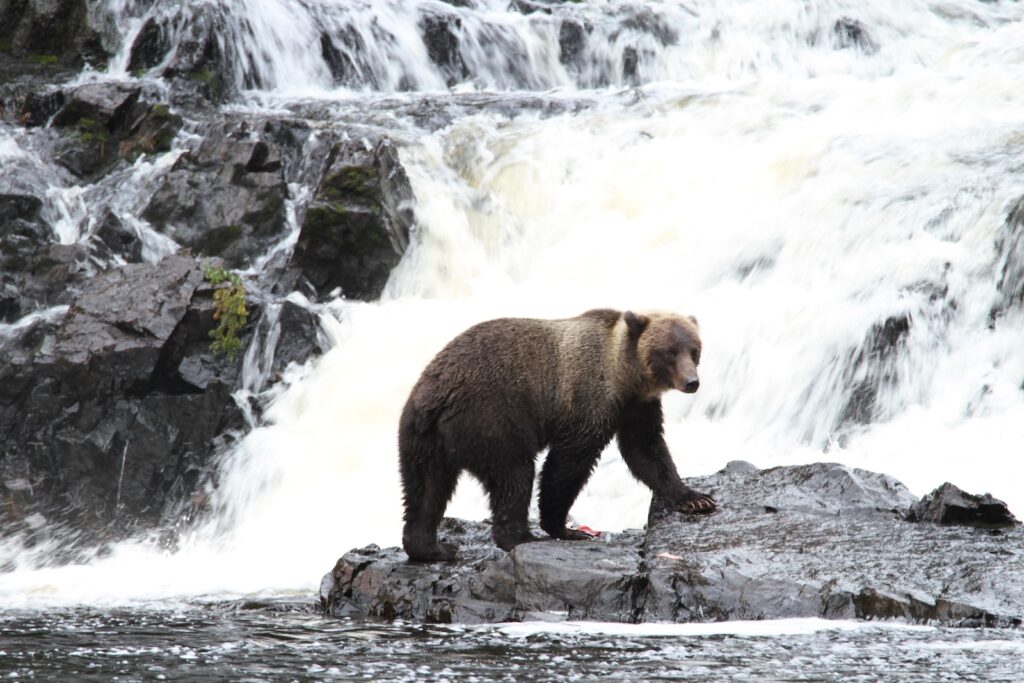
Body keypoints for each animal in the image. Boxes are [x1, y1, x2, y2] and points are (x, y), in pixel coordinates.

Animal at [398, 308, 716, 562]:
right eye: (670, 351)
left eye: (694, 350)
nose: (692, 382)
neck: (625, 376)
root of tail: (438, 396)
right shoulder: (588, 400)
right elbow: (568, 464)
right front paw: (563, 527)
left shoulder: (636, 407)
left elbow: (646, 451)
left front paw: (695, 498)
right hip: (492, 419)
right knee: (514, 475)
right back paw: (520, 537)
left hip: (421, 437)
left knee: (425, 490)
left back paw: (432, 548)